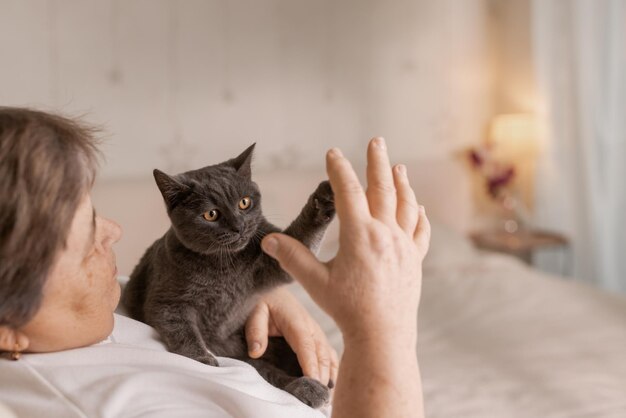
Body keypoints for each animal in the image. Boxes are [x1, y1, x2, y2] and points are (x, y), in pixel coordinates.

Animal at [123, 144, 336, 408]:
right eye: (211, 214)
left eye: (244, 203)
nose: (238, 227)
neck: (226, 266)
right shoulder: (167, 301)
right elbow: (183, 330)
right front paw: (201, 358)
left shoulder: (274, 260)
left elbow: (301, 239)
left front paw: (325, 198)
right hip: (247, 358)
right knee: (267, 373)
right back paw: (309, 387)